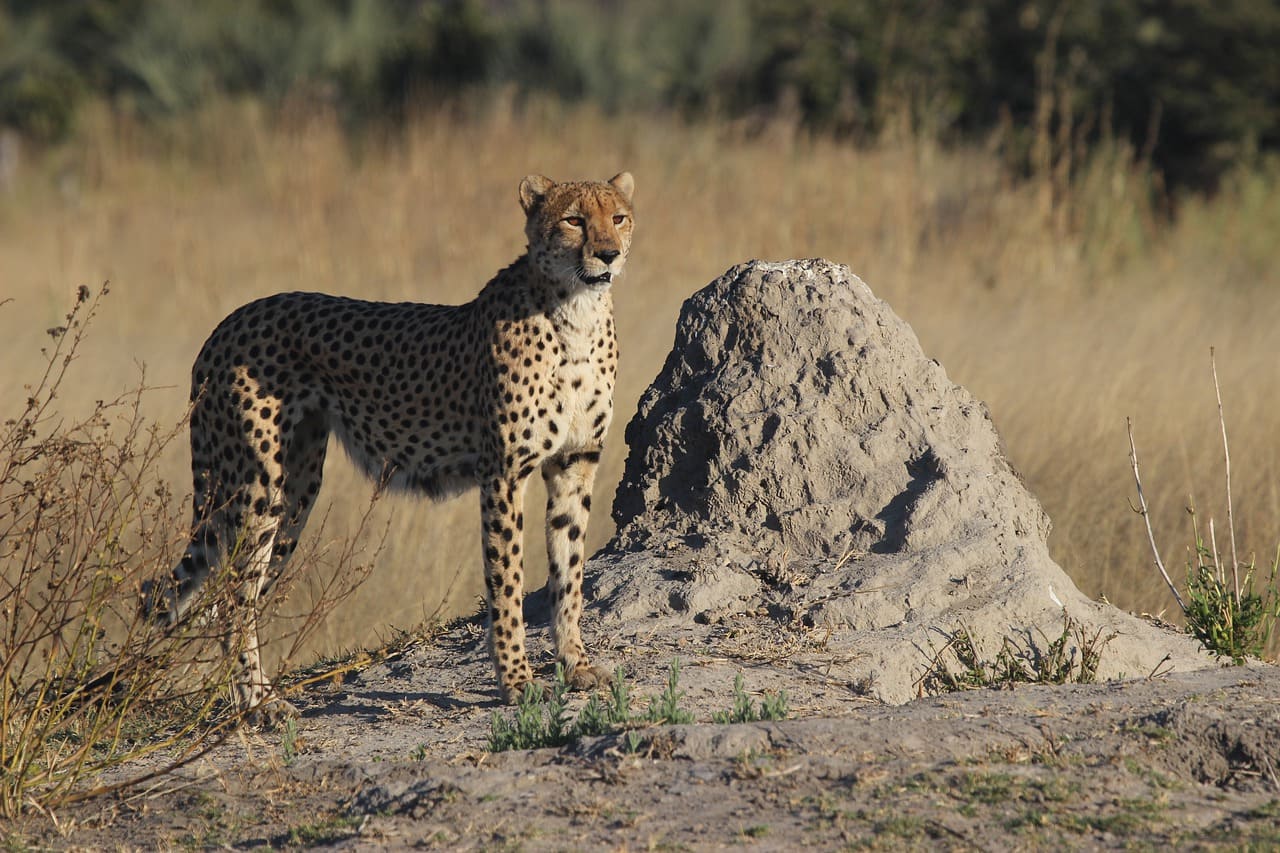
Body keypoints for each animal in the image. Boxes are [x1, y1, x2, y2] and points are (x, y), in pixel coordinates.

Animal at [147, 171, 637, 717]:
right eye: (574, 220)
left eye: (618, 217)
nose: (609, 254)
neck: (576, 313)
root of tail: (229, 322)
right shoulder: (503, 474)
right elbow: (506, 580)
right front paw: (515, 680)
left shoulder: (575, 462)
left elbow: (569, 571)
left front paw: (575, 663)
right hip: (256, 485)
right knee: (232, 595)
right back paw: (260, 703)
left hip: (295, 489)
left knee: (227, 591)